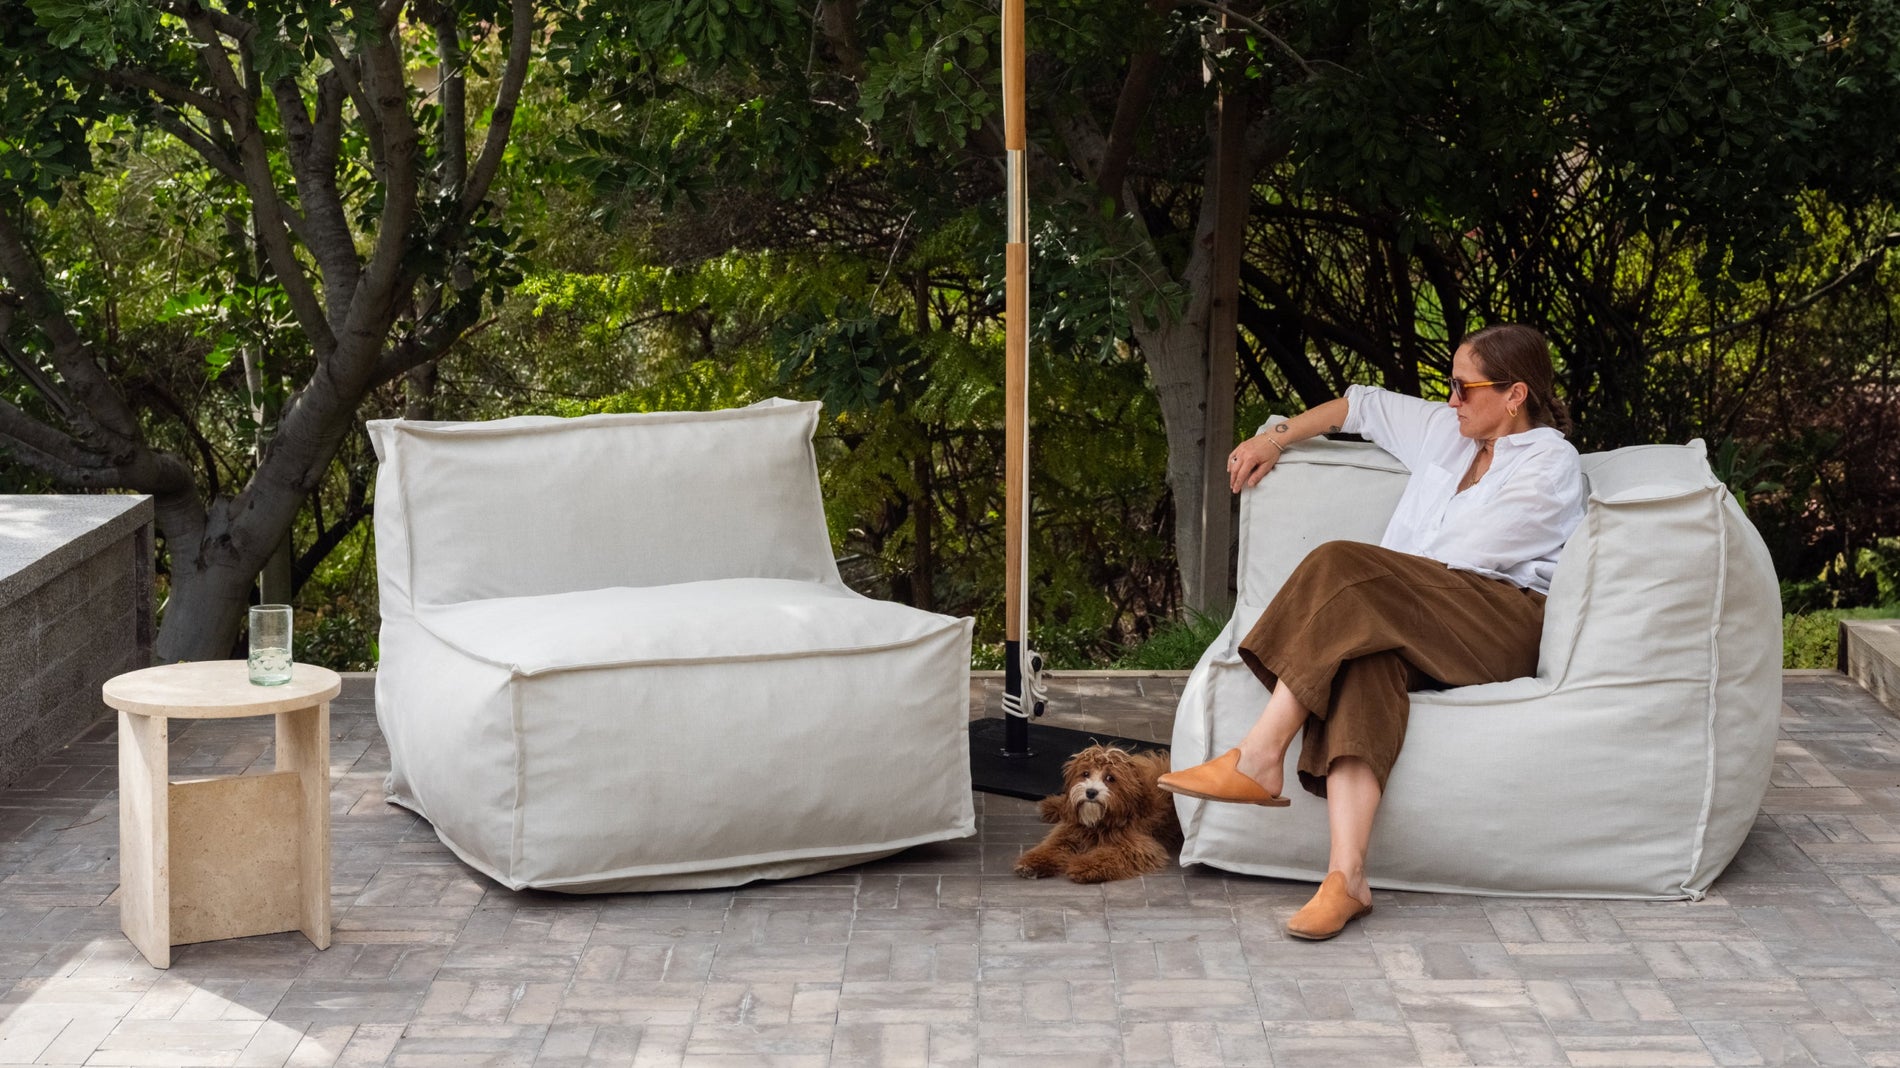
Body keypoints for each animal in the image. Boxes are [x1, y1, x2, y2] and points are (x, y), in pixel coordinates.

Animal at [1013, 743, 1184, 883]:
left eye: (1110, 778)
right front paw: (1032, 864)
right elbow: (1051, 847)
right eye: (1085, 774)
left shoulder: (1139, 846)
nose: (1091, 792)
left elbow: (1107, 855)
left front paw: (1084, 866)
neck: (1099, 823)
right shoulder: (1069, 831)